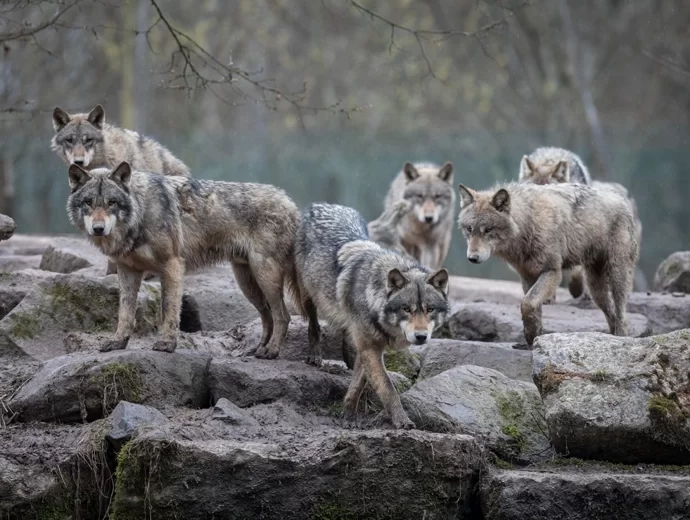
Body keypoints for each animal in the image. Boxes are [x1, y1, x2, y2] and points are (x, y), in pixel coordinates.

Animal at [66, 161, 299, 357]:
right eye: (88, 202)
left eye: (112, 203)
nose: (98, 229)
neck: (141, 212)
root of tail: (290, 202)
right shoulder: (127, 270)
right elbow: (125, 312)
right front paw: (118, 342)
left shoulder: (172, 265)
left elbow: (168, 309)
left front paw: (167, 344)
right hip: (247, 283)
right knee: (268, 315)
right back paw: (259, 348)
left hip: (264, 276)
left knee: (283, 315)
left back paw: (271, 351)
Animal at [294, 203, 450, 429]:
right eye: (407, 309)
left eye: (429, 309)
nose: (421, 337)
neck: (373, 295)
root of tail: (322, 204)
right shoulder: (370, 348)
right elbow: (388, 388)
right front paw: (402, 421)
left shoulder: (369, 348)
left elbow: (358, 384)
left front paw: (348, 415)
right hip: (308, 295)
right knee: (313, 324)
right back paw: (315, 355)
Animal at [457, 182, 638, 346]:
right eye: (469, 229)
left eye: (488, 230)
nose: (472, 258)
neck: (529, 223)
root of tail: (621, 199)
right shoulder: (527, 276)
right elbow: (533, 307)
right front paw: (533, 337)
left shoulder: (552, 272)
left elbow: (528, 303)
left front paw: (531, 335)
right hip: (595, 289)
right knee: (611, 313)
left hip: (616, 275)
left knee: (621, 312)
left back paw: (621, 337)